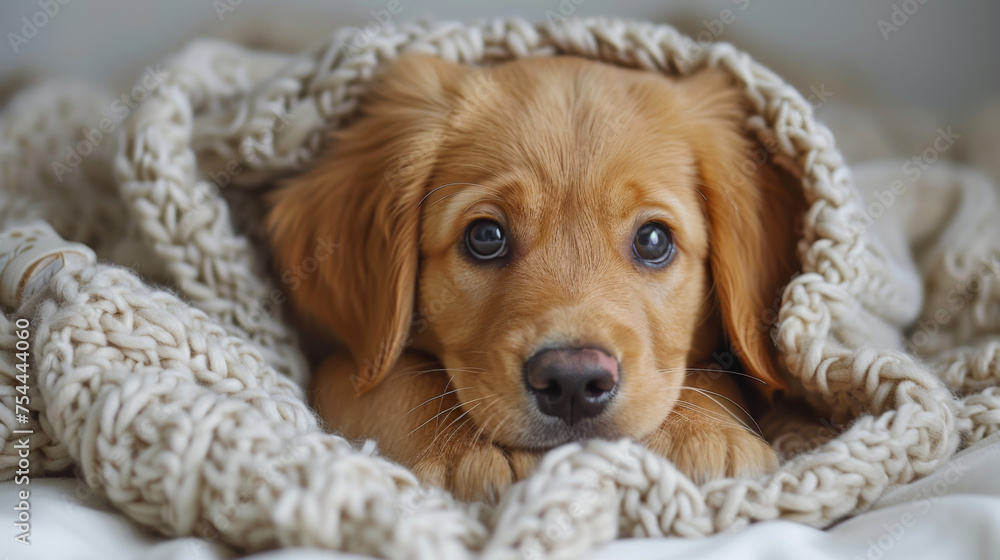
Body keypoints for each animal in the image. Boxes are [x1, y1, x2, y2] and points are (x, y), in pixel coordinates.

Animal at [270, 53, 808, 504]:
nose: (573, 380)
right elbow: (398, 379)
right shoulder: (338, 364)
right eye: (485, 236)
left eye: (654, 240)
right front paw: (468, 451)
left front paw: (705, 432)